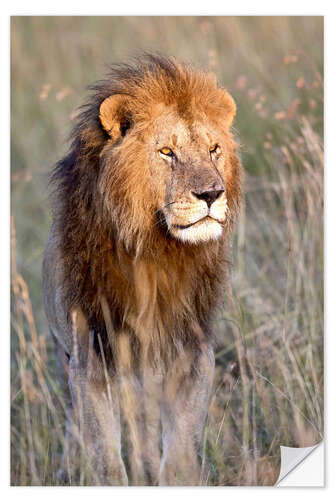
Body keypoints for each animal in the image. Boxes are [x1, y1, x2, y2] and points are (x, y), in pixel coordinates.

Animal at [42, 53, 243, 484]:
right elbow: (105, 458)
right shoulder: (90, 359)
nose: (211, 194)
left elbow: (179, 451)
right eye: (167, 151)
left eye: (214, 149)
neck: (156, 250)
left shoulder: (193, 353)